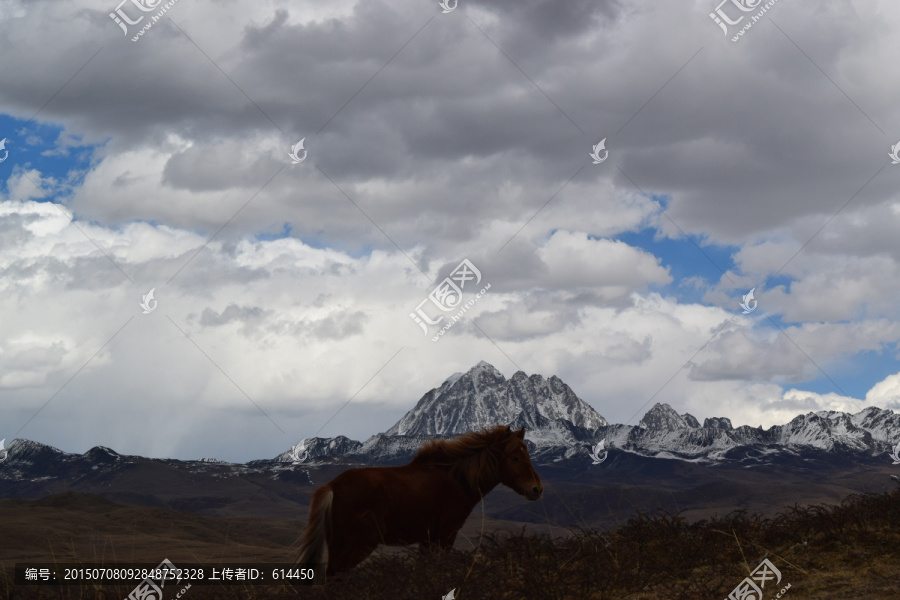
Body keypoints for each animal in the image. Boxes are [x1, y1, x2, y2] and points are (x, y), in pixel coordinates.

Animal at [296, 425, 543, 578]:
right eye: (515, 458)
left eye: (528, 455)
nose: (537, 489)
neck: (456, 478)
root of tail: (332, 486)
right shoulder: (446, 534)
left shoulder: (428, 538)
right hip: (359, 544)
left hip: (338, 542)